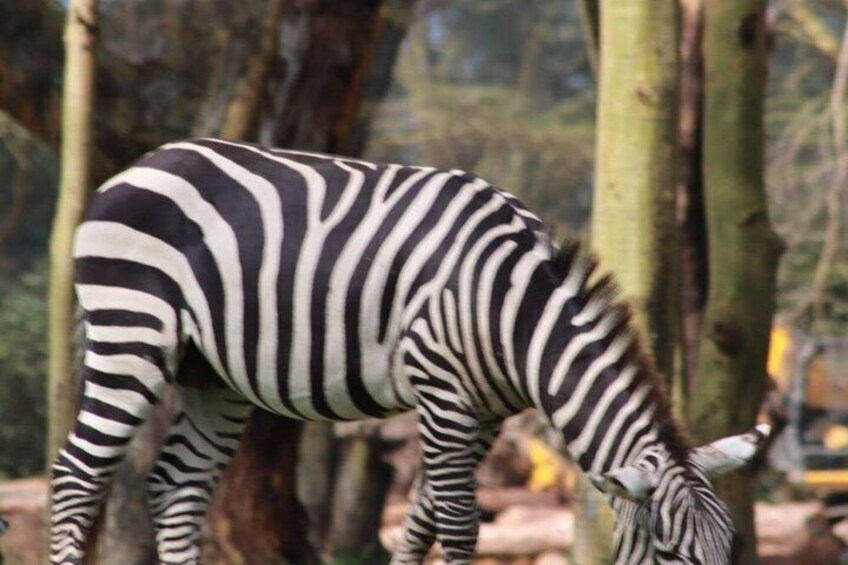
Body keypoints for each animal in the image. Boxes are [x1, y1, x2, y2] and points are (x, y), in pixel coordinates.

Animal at [49, 138, 769, 565]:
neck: (511, 307)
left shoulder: (486, 412)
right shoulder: (442, 391)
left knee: (179, 484)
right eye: (672, 555)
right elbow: (457, 522)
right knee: (76, 475)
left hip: (212, 375)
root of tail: (142, 162)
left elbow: (421, 519)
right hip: (131, 335)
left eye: (731, 549)